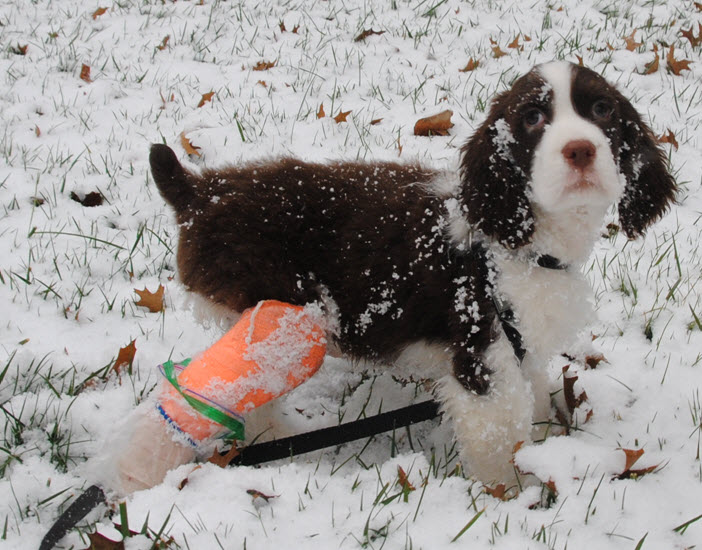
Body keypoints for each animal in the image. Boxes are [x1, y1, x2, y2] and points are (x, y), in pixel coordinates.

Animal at [148, 61, 676, 488]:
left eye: (603, 109)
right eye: (532, 118)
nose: (581, 150)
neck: (519, 243)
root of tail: (201, 193)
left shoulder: (521, 342)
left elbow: (533, 397)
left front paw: (547, 444)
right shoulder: (479, 353)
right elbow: (497, 438)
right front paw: (509, 495)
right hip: (278, 320)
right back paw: (286, 442)